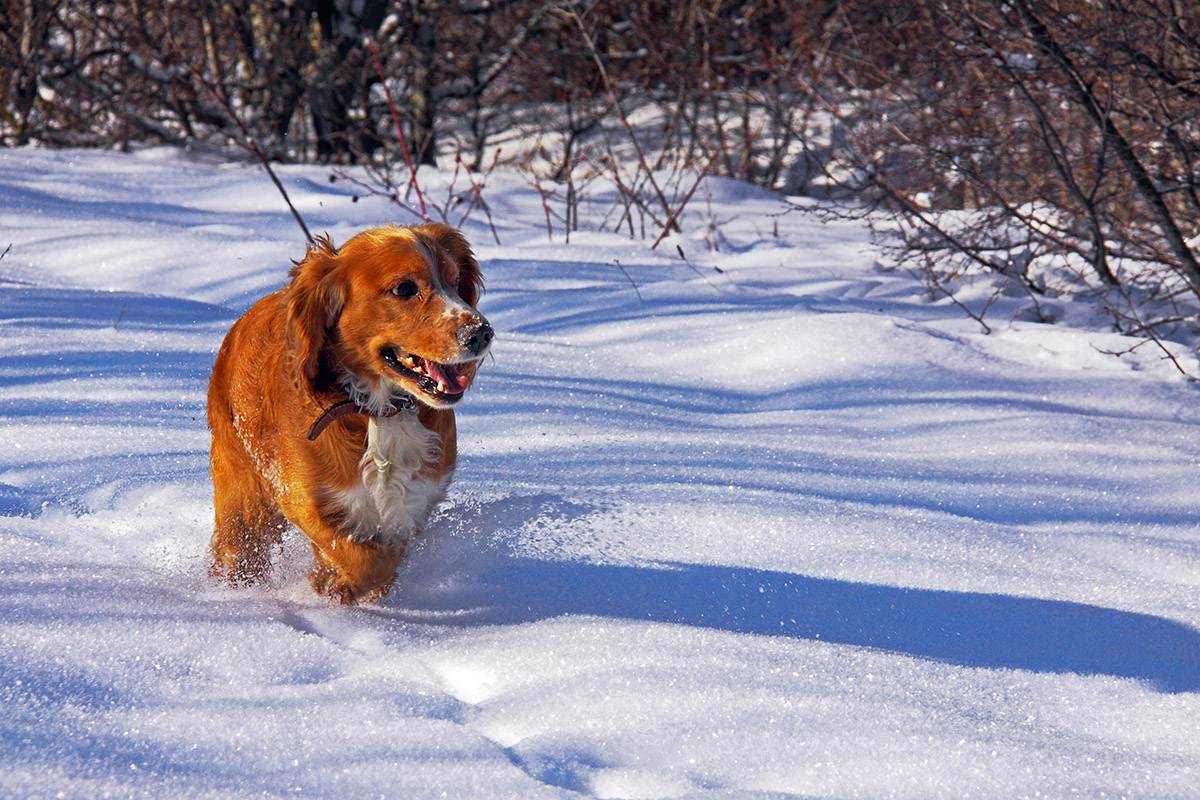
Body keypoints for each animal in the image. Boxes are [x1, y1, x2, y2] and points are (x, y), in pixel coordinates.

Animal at [207, 221, 492, 604]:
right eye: (404, 289)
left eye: (456, 281)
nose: (481, 333)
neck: (381, 411)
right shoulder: (307, 499)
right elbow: (366, 562)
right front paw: (334, 585)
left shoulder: (413, 505)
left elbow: (385, 561)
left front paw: (336, 585)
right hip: (244, 503)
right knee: (237, 552)